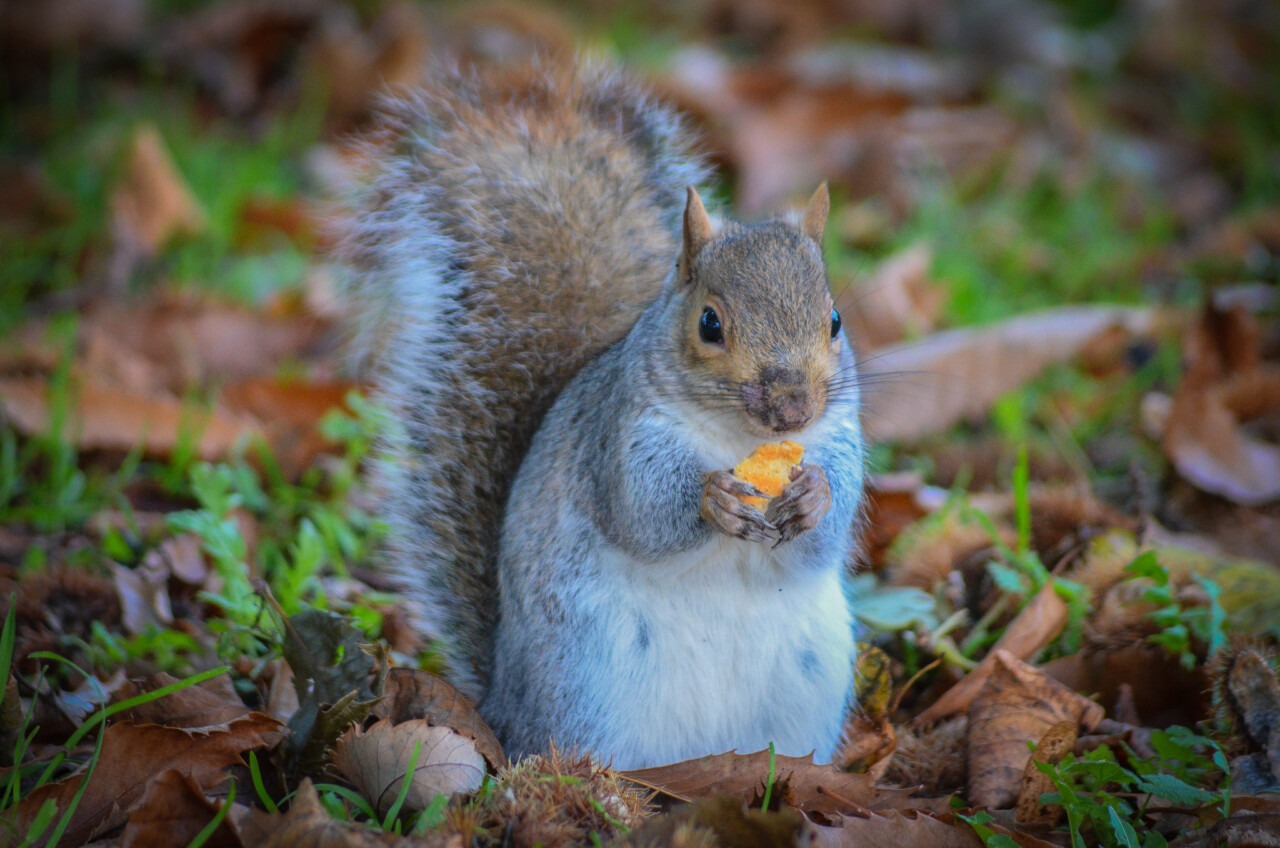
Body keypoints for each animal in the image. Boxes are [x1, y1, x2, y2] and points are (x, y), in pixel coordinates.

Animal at [337, 63, 870, 773]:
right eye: (709, 324)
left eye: (834, 321)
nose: (792, 408)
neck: (740, 438)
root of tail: (502, 703)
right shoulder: (619, 437)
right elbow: (642, 510)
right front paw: (714, 500)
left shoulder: (838, 437)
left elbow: (828, 529)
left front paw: (812, 495)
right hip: (585, 686)